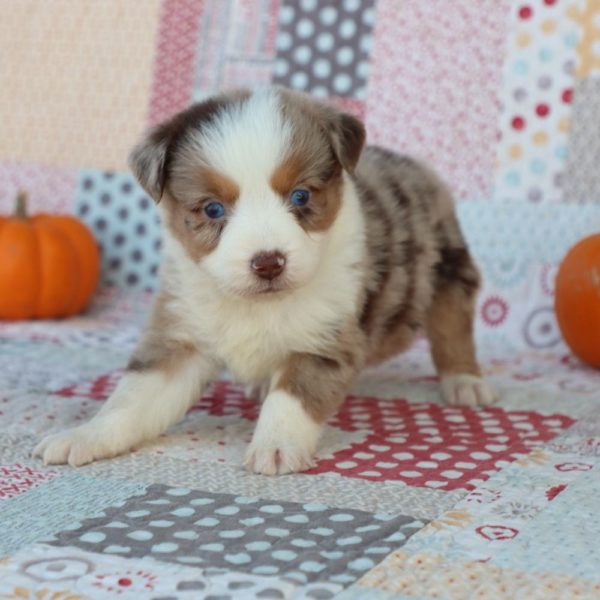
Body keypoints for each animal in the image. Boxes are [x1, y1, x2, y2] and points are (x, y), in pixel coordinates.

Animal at [34, 86, 492, 476]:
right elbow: (130, 399)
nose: (269, 262)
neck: (256, 302)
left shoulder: (324, 339)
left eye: (301, 196)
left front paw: (276, 446)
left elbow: (292, 398)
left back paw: (465, 382)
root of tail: (419, 169)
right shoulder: (180, 338)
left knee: (452, 327)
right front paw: (85, 435)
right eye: (213, 209)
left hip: (448, 271)